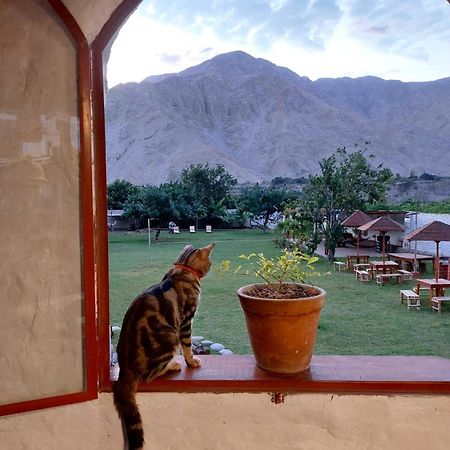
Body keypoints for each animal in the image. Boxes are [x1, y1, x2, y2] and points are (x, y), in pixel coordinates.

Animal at [112, 243, 214, 450]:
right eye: (209, 262)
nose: (211, 267)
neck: (183, 269)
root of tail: (125, 368)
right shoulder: (186, 321)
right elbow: (188, 346)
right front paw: (192, 361)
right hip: (170, 336)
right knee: (152, 374)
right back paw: (173, 365)